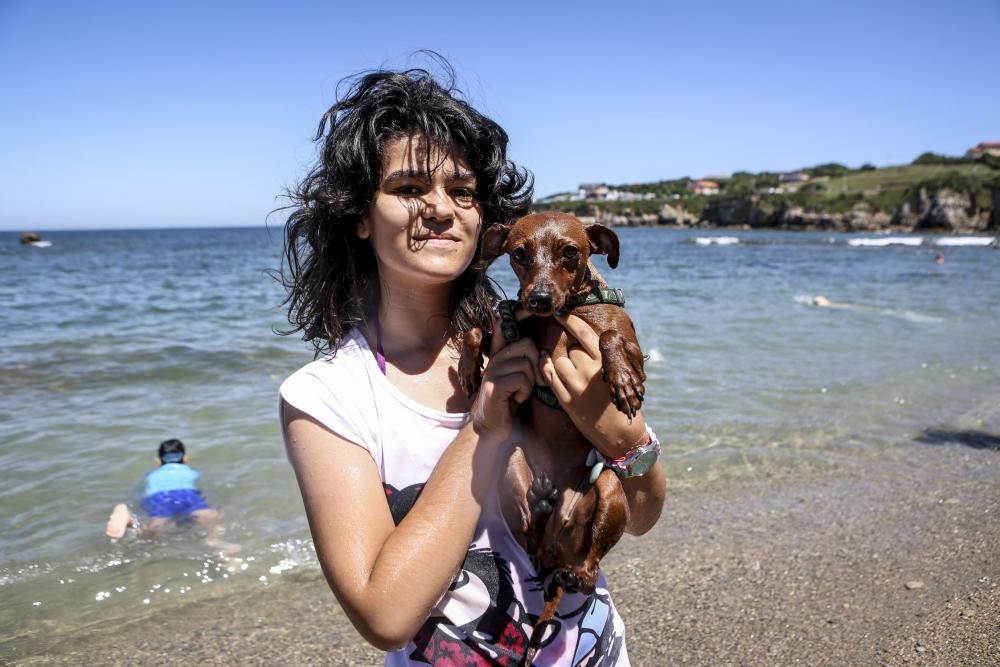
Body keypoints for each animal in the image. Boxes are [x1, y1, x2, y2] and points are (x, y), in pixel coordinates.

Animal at [458, 211, 644, 664]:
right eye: (519, 254)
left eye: (571, 253)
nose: (539, 299)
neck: (558, 316)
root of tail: (560, 547)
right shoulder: (509, 328)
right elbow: (475, 331)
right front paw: (470, 368)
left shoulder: (635, 349)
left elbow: (611, 336)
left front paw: (622, 380)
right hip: (511, 462)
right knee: (530, 536)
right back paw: (541, 502)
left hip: (610, 489)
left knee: (589, 568)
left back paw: (575, 569)